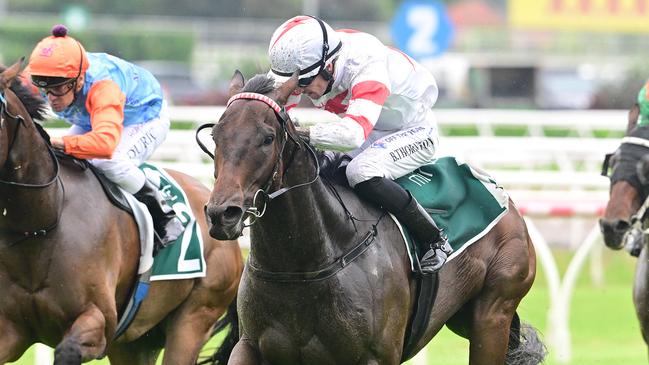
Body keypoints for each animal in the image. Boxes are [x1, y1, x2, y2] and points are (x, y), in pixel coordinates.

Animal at [0, 60, 242, 364]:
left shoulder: (99, 323)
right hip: (134, 340)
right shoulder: (10, 330)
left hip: (194, 317)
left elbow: (67, 349)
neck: (41, 223)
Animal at [204, 72, 548, 364]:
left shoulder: (377, 356)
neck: (302, 266)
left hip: (492, 315)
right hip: (463, 316)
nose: (222, 214)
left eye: (267, 138)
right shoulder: (251, 346)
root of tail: (501, 196)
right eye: (216, 136)